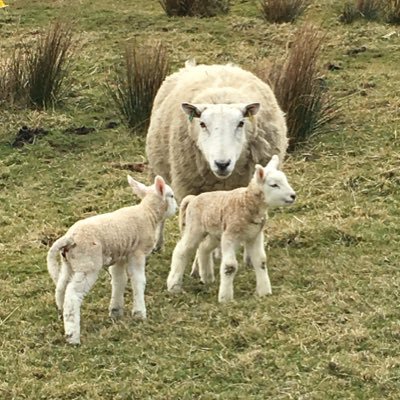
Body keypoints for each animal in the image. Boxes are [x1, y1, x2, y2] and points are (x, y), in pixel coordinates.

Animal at [47, 175, 177, 344]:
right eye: (172, 196)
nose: (177, 208)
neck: (148, 214)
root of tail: (69, 238)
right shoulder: (137, 253)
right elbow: (138, 280)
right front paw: (139, 313)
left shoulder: (120, 255)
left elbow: (119, 280)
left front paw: (115, 311)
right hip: (87, 264)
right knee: (72, 295)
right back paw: (72, 337)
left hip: (69, 264)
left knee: (61, 287)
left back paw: (62, 314)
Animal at [166, 156, 294, 304]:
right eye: (274, 185)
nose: (293, 196)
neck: (246, 202)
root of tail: (193, 198)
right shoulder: (230, 236)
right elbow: (230, 266)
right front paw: (225, 298)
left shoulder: (254, 235)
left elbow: (261, 261)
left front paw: (265, 292)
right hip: (195, 228)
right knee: (181, 251)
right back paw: (173, 285)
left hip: (215, 233)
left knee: (204, 248)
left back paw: (207, 278)